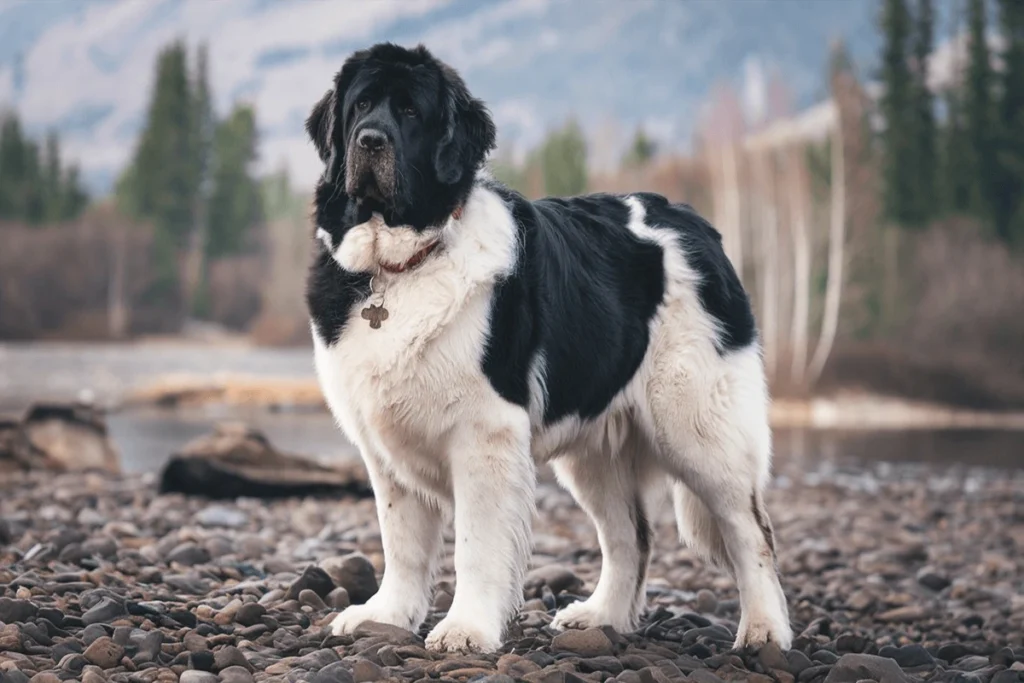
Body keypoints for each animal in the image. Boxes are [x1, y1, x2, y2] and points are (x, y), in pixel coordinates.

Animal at [303, 44, 790, 655]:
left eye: (411, 112)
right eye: (361, 107)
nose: (370, 140)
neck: (399, 268)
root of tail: (696, 223)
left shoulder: (484, 433)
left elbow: (477, 544)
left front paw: (466, 628)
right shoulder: (385, 444)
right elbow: (401, 541)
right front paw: (385, 615)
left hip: (699, 426)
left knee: (751, 531)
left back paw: (765, 630)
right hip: (597, 450)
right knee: (630, 536)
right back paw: (602, 617)